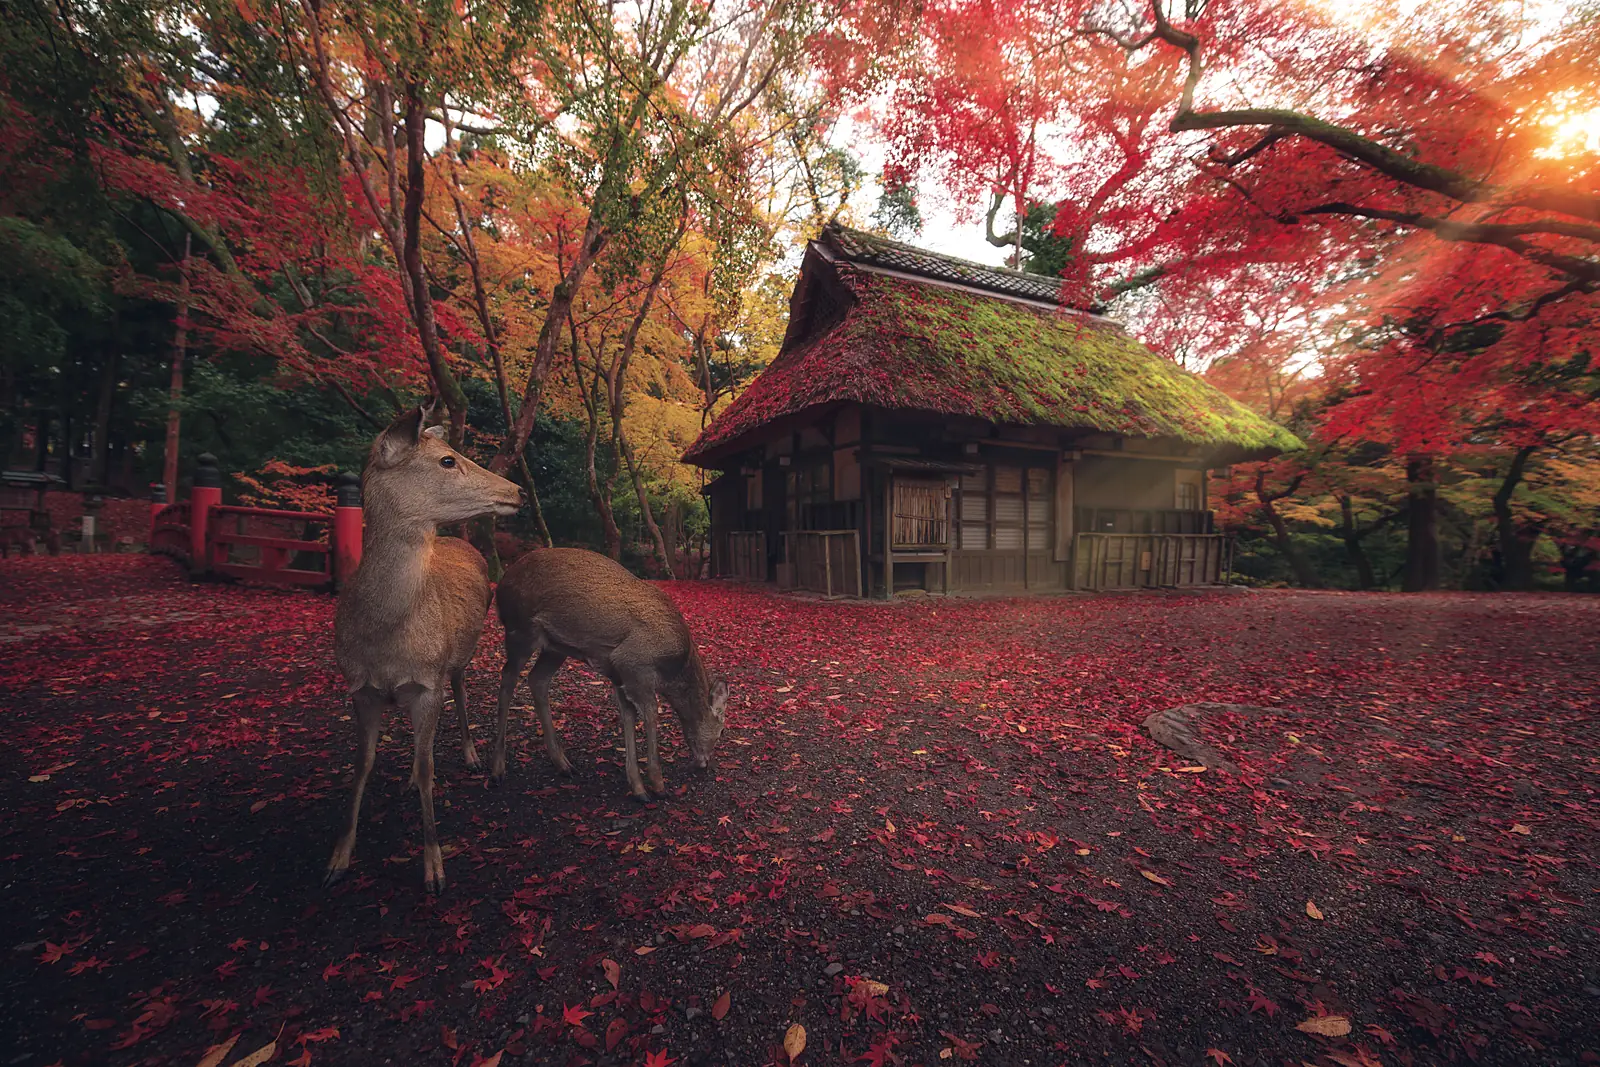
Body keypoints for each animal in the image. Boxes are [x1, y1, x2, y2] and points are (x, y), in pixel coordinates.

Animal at [324, 405, 524, 893]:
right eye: (447, 460)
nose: (518, 491)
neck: (384, 638)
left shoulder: (428, 681)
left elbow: (429, 767)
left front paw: (434, 868)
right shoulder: (358, 687)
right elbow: (363, 765)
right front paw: (338, 859)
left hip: (460, 654)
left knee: (461, 691)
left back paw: (471, 756)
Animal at [491, 547, 727, 803]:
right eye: (721, 730)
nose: (705, 764)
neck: (673, 668)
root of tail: (501, 585)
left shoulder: (619, 674)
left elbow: (628, 716)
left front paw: (638, 788)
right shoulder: (634, 663)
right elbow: (651, 714)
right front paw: (658, 785)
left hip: (555, 647)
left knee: (537, 679)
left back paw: (563, 764)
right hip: (520, 629)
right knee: (507, 677)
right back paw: (497, 768)